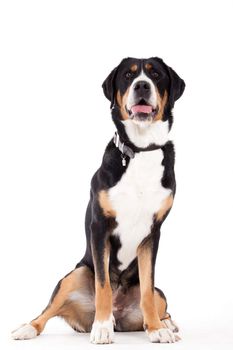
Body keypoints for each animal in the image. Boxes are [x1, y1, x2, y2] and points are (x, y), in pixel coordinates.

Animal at [11, 56, 185, 344]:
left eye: (156, 75)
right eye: (128, 75)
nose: (142, 86)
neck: (140, 151)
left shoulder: (152, 234)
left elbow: (147, 290)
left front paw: (156, 329)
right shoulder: (100, 227)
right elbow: (103, 285)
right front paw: (102, 327)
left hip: (161, 294)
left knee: (157, 299)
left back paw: (166, 323)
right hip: (75, 274)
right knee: (47, 311)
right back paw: (28, 328)